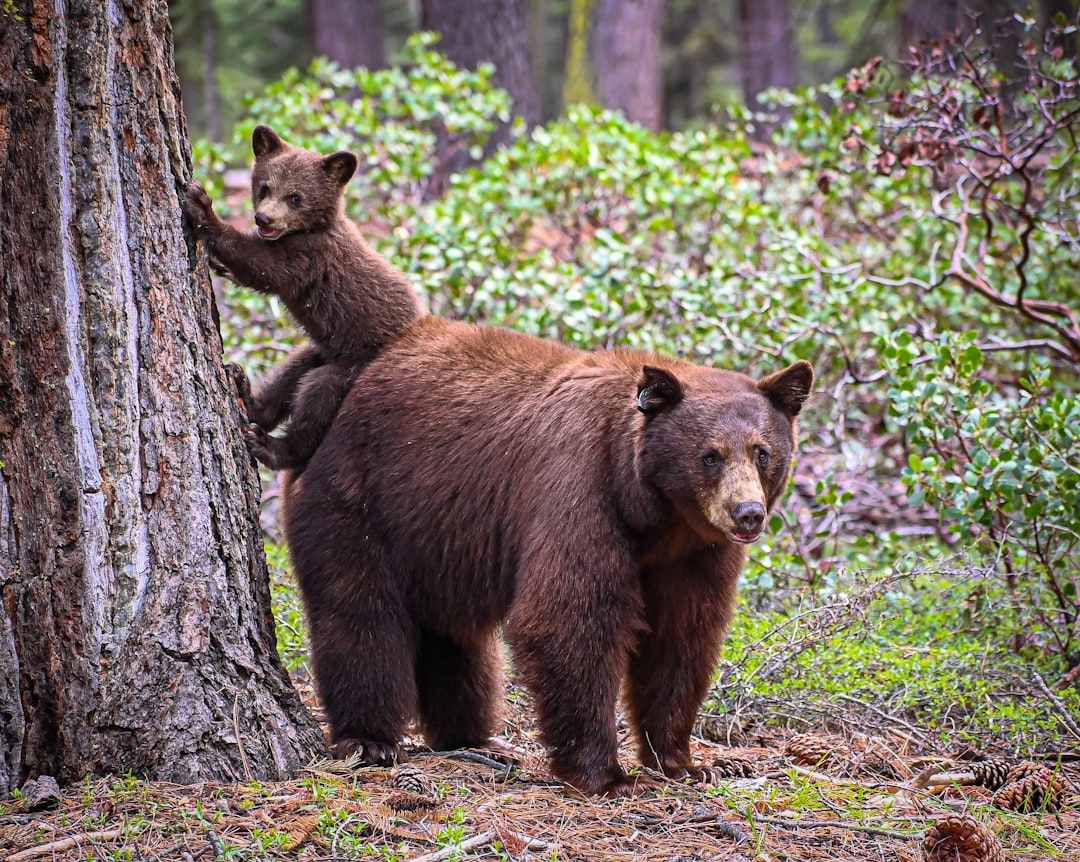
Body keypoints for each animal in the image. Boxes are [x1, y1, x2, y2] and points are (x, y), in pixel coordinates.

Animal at [183, 125, 425, 471]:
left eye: (295, 197)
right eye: (264, 187)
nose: (263, 219)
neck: (311, 229)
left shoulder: (309, 257)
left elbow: (262, 266)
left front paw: (202, 207)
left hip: (352, 368)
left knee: (317, 398)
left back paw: (269, 445)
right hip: (323, 349)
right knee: (292, 372)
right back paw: (246, 393)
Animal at [282, 314, 813, 797]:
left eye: (762, 452)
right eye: (710, 455)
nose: (748, 514)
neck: (653, 513)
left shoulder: (696, 551)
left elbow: (682, 637)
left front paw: (684, 761)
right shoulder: (579, 486)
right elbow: (568, 619)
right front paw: (607, 776)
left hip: (436, 537)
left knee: (456, 639)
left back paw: (473, 738)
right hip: (357, 500)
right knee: (361, 615)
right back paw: (369, 739)